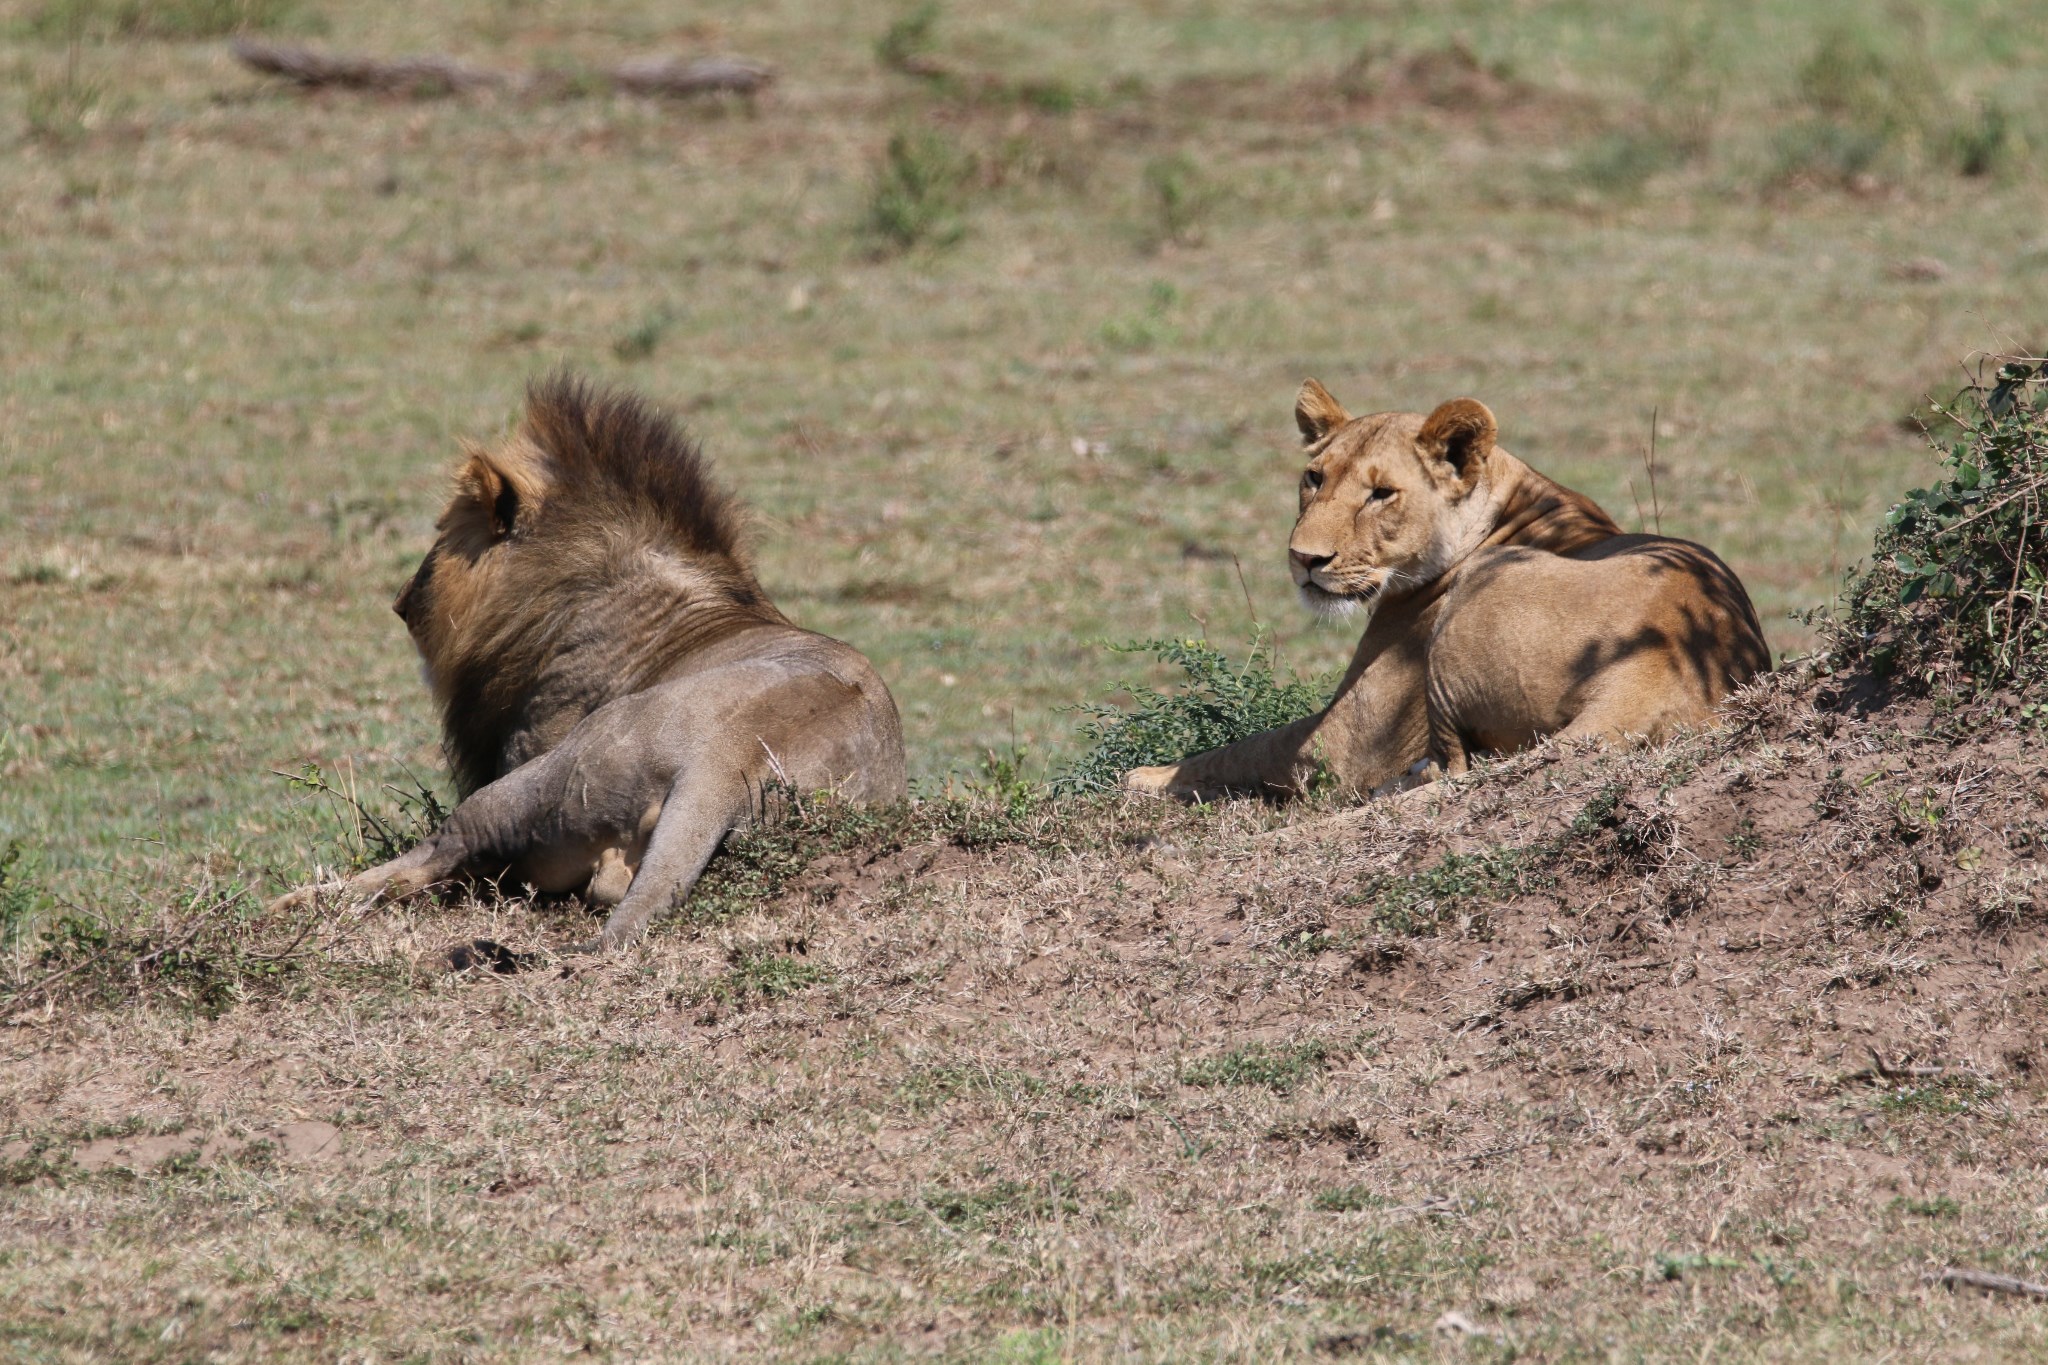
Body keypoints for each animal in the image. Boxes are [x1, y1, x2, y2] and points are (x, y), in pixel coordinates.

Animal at [272, 374, 905, 949]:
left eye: (438, 536)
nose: (400, 601)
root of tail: (726, 763)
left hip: (529, 784)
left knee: (433, 855)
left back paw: (298, 902)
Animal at [1130, 378, 1769, 806]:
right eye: (1314, 477)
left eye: (1381, 494)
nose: (1305, 559)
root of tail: (1655, 665)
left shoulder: (1350, 740)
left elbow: (1248, 747)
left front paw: (1147, 776)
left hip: (1476, 601)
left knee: (1454, 766)